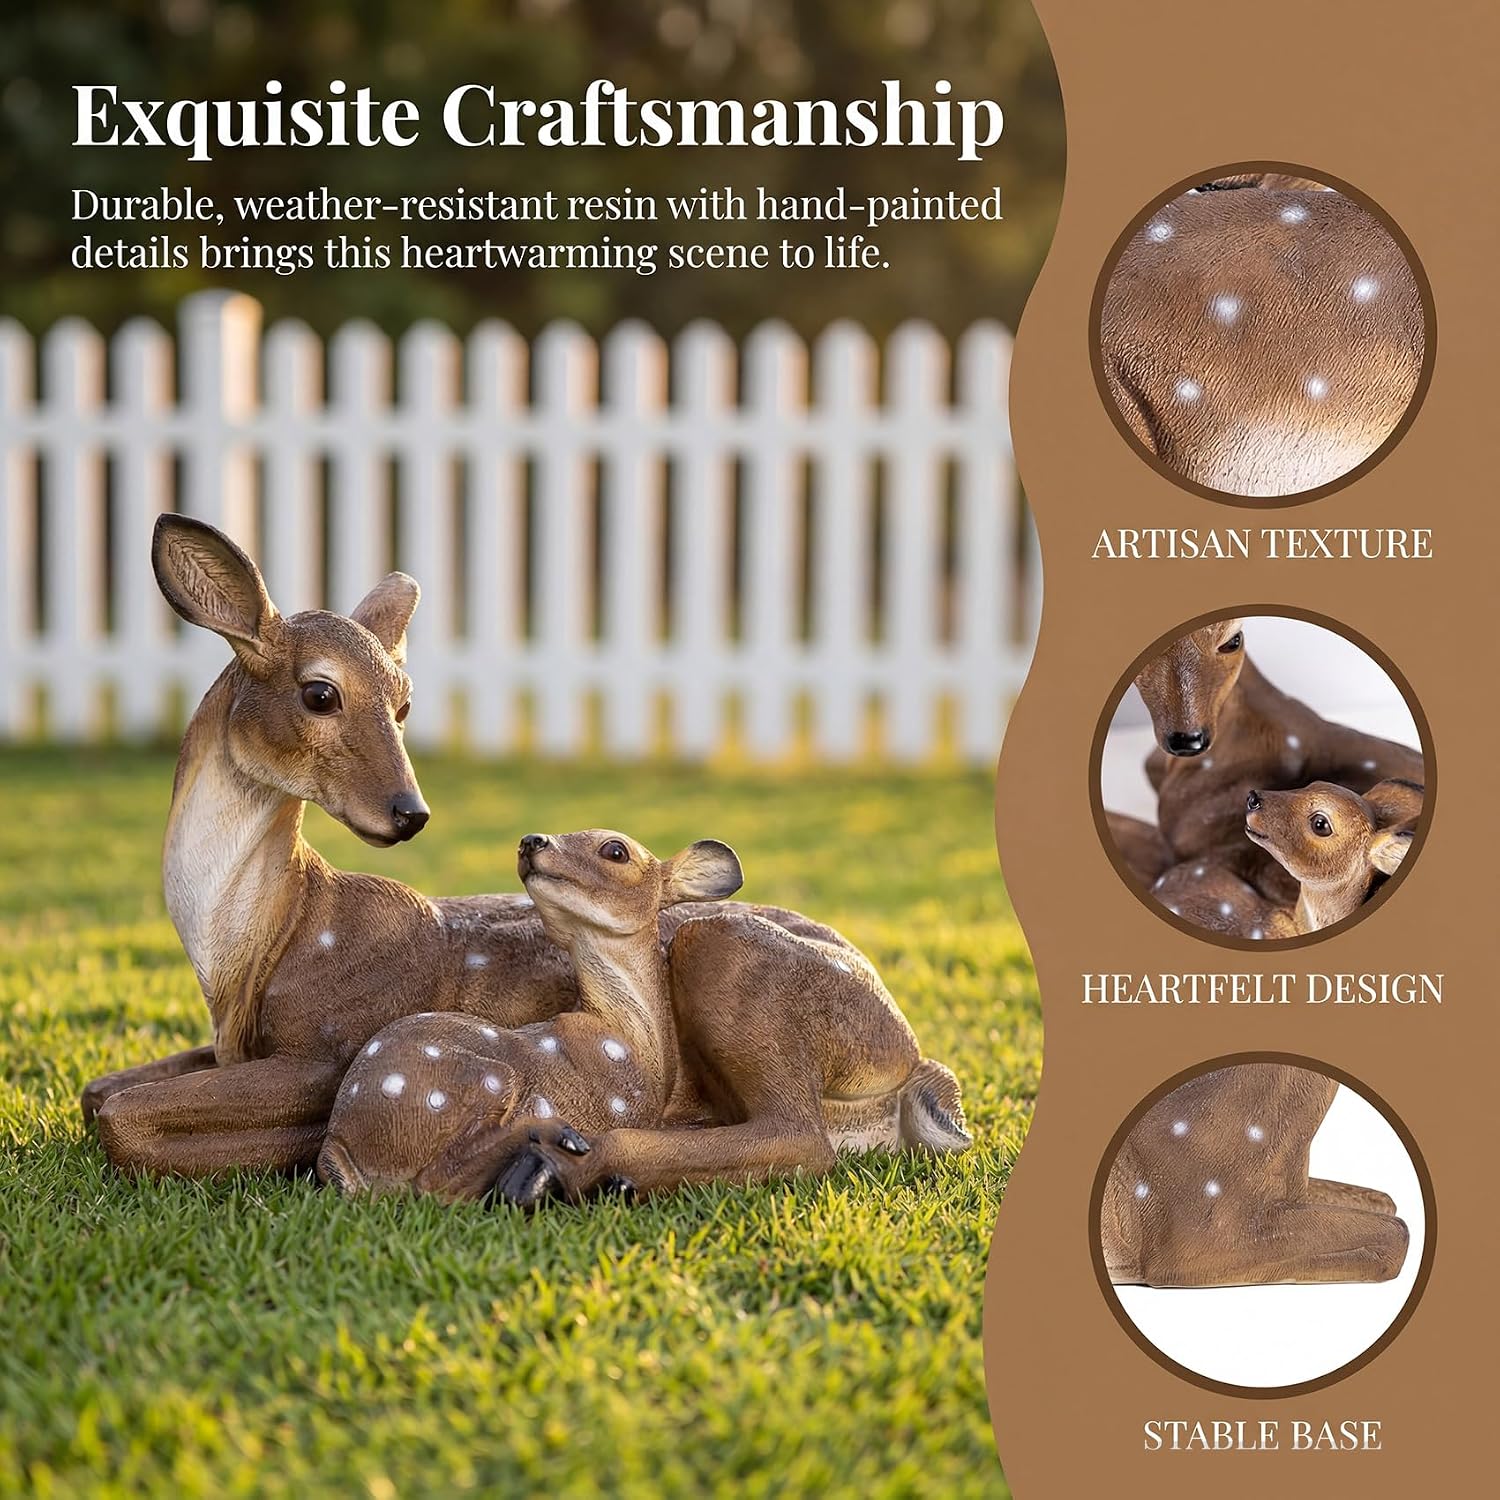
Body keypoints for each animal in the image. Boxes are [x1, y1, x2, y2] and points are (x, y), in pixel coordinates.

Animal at [84, 516, 889, 1180]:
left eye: (405, 705)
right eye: (320, 693)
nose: (409, 813)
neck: (253, 951)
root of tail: (898, 1047)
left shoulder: (334, 1041)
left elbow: (122, 1120)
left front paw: (290, 1146)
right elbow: (99, 1094)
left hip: (731, 963)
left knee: (800, 1134)